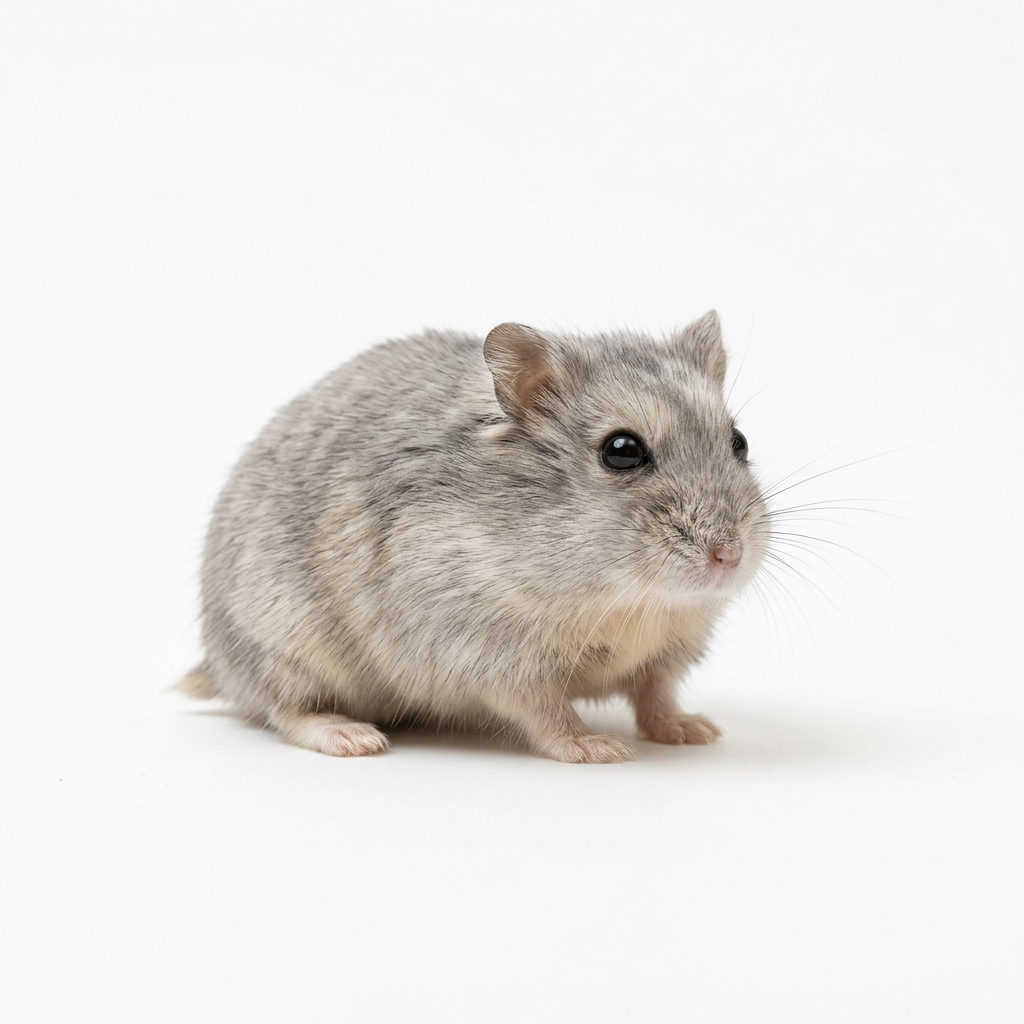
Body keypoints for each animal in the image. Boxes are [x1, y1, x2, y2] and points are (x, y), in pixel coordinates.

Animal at [180, 311, 767, 762]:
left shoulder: (669, 648)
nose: (728, 556)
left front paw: (696, 731)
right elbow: (547, 710)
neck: (629, 600)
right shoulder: (490, 653)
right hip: (284, 647)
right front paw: (598, 748)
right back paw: (353, 737)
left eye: (738, 441)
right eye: (621, 451)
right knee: (286, 708)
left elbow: (656, 695)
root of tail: (217, 665)